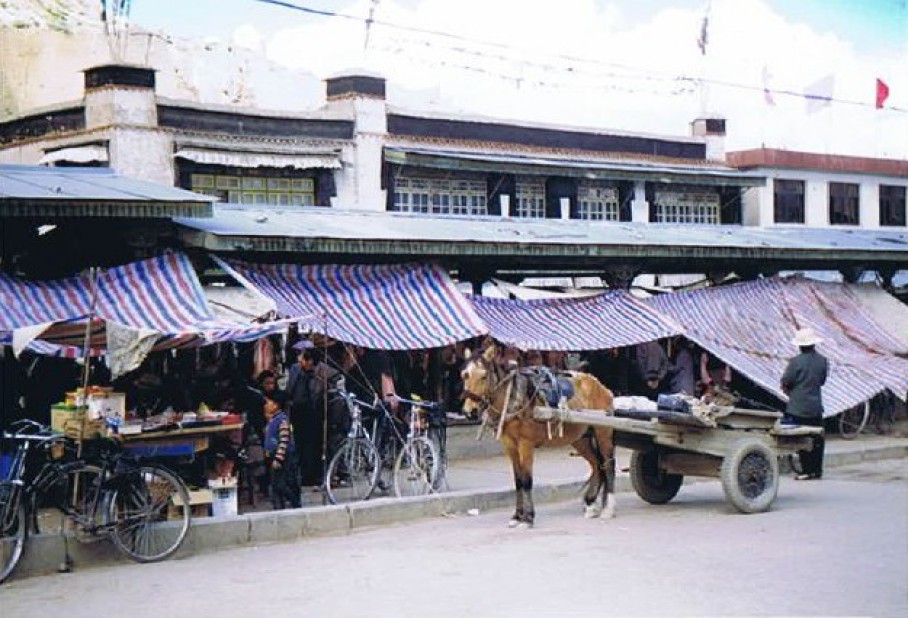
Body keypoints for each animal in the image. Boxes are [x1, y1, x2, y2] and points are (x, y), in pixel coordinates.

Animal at [462, 342, 616, 524]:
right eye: (464, 375)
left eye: (484, 376)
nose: (470, 412)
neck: (514, 399)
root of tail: (598, 384)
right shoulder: (510, 446)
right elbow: (518, 481)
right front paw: (517, 515)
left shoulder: (526, 444)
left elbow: (527, 480)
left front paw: (528, 517)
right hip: (581, 438)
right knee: (596, 465)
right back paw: (591, 504)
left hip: (603, 432)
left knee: (608, 465)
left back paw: (608, 508)